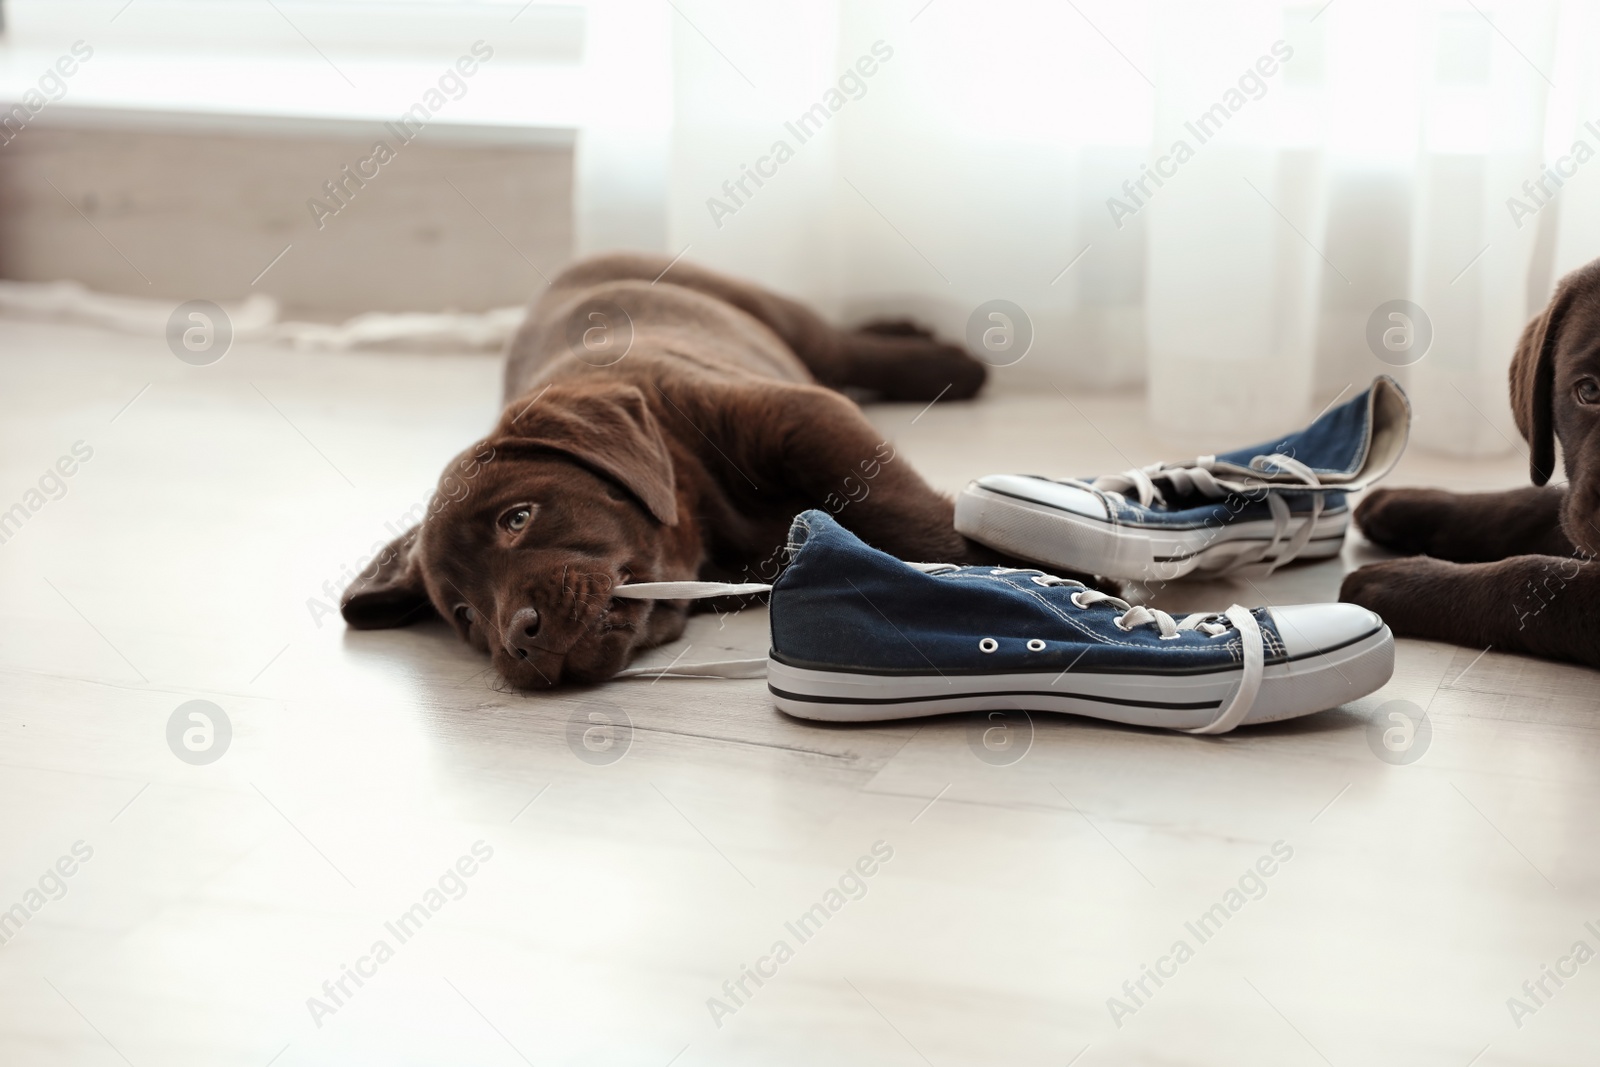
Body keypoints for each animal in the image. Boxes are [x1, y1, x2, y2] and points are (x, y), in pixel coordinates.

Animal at [339, 251, 992, 687]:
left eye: (517, 518)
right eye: (466, 616)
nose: (518, 640)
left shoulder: (801, 417)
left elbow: (906, 513)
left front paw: (982, 571)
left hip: (768, 313)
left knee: (847, 349)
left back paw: (941, 361)